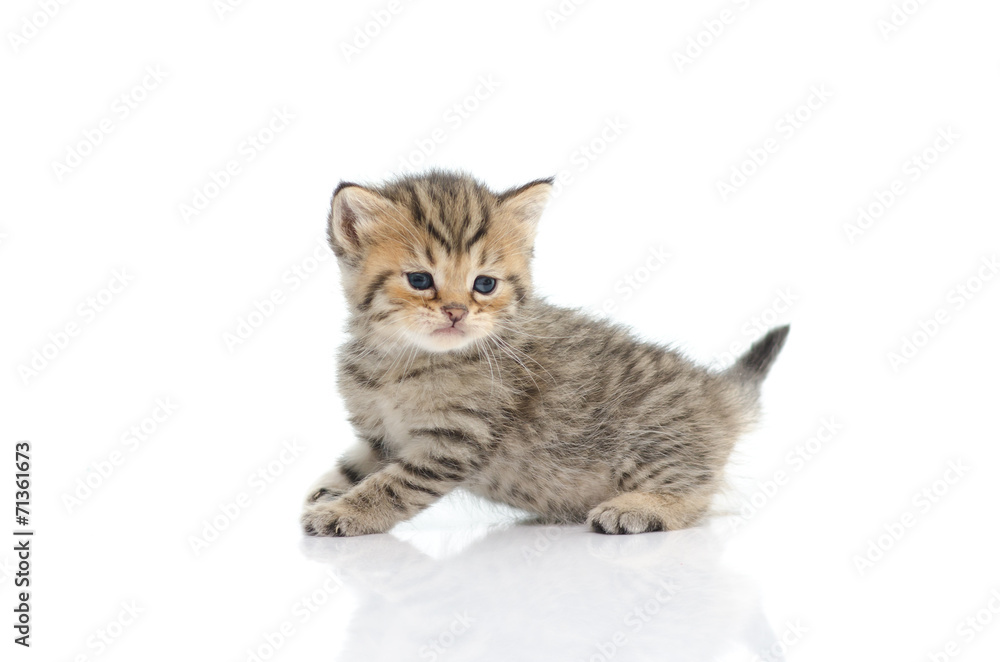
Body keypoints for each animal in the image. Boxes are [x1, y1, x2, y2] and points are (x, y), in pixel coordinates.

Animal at [298, 172, 788, 540]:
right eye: (420, 280)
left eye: (484, 284)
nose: (456, 312)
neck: (400, 361)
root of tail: (716, 393)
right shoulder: (379, 437)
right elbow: (352, 465)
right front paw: (327, 492)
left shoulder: (452, 443)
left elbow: (393, 485)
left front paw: (346, 512)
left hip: (653, 441)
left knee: (695, 494)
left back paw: (640, 507)